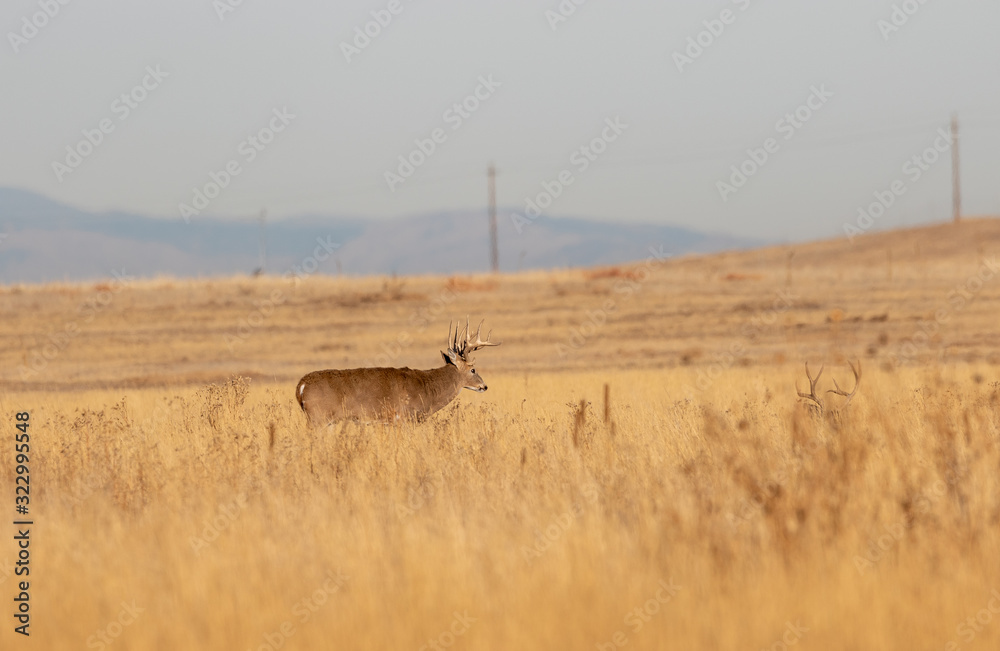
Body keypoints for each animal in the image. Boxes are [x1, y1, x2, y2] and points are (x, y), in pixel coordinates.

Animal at [296, 318, 501, 426]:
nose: (484, 386)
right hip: (318, 418)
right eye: (473, 369)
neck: (427, 389)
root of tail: (301, 386)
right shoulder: (405, 418)